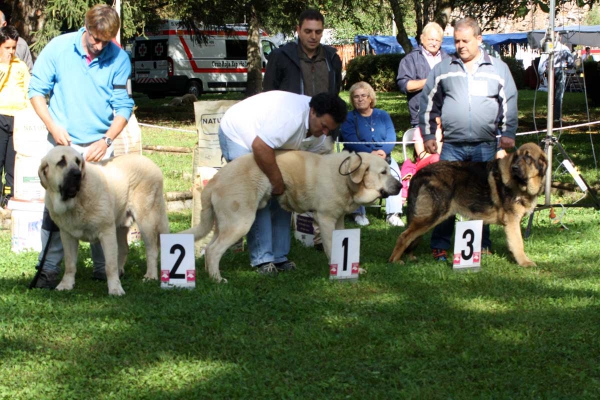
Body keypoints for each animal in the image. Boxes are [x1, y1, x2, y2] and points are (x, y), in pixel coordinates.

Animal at [38, 145, 169, 296]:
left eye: (77, 161)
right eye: (61, 162)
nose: (77, 174)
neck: (75, 201)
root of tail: (152, 164)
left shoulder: (106, 232)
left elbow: (110, 265)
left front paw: (115, 289)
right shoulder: (67, 235)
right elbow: (70, 263)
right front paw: (66, 284)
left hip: (146, 219)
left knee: (152, 249)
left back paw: (150, 276)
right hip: (120, 224)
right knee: (124, 249)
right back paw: (121, 273)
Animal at [180, 149, 400, 282]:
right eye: (383, 172)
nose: (399, 186)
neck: (346, 179)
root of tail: (215, 180)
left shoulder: (338, 220)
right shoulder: (326, 219)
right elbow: (331, 248)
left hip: (224, 224)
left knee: (209, 248)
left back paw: (210, 275)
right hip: (240, 222)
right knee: (213, 250)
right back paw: (218, 279)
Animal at [390, 142, 548, 268]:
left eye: (528, 158)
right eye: (517, 157)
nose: (514, 168)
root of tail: (420, 173)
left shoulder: (513, 223)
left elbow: (514, 242)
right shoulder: (512, 221)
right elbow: (519, 244)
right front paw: (524, 262)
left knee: (411, 237)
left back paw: (409, 257)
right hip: (431, 217)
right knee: (404, 236)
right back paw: (394, 260)